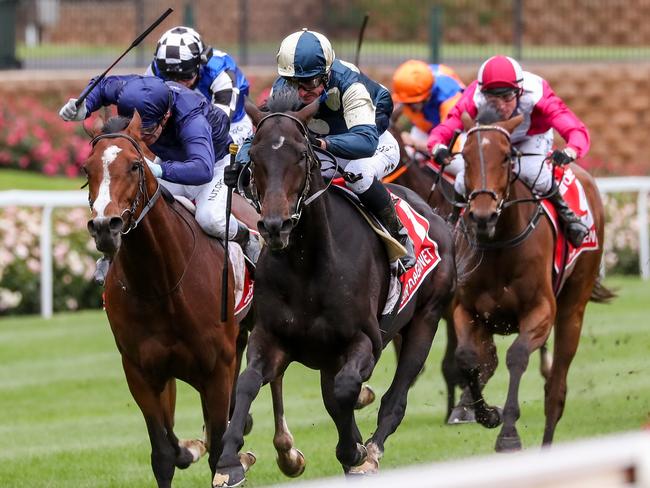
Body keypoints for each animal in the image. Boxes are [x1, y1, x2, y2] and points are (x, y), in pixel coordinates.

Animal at [81, 112, 243, 486]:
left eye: (135, 165)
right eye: (86, 168)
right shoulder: (141, 371)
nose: (104, 226)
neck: (161, 284)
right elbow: (165, 452)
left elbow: (219, 455)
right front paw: (187, 449)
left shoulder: (218, 368)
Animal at [213, 93, 456, 486]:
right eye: (255, 156)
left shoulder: (365, 340)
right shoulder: (270, 337)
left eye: (301, 154)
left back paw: (370, 451)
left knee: (394, 398)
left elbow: (346, 390)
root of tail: (434, 213)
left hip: (426, 319)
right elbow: (248, 382)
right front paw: (229, 461)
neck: (307, 267)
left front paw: (354, 451)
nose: (275, 226)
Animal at [450, 106, 612, 450]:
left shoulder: (541, 310)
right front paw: (487, 414)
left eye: (506, 157)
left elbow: (517, 356)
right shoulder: (466, 310)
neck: (499, 246)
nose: (482, 215)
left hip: (573, 309)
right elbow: (468, 358)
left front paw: (508, 433)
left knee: (556, 389)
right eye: (465, 157)